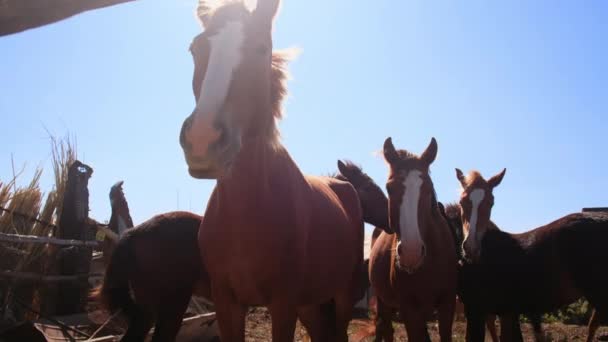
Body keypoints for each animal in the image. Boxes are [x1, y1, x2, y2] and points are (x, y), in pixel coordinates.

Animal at [178, 1, 364, 340]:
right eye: (195, 48)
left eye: (262, 48)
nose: (202, 140)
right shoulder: (227, 302)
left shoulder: (283, 303)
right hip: (310, 303)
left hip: (343, 294)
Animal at [368, 138, 458, 342]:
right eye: (389, 188)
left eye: (429, 188)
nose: (411, 253)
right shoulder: (409, 309)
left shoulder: (447, 304)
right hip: (384, 303)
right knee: (386, 329)